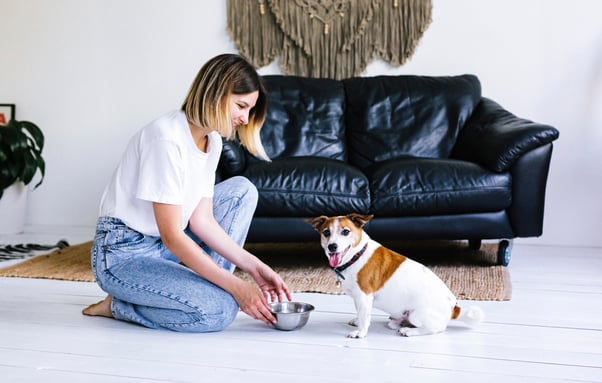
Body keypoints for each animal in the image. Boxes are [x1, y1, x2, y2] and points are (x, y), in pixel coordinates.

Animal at [304, 214, 482, 338]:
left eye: (345, 232)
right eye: (326, 232)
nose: (332, 247)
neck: (357, 255)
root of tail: (454, 307)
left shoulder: (364, 297)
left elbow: (364, 317)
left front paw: (360, 333)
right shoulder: (358, 299)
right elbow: (360, 314)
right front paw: (357, 321)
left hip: (417, 315)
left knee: (436, 329)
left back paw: (409, 331)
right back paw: (398, 323)